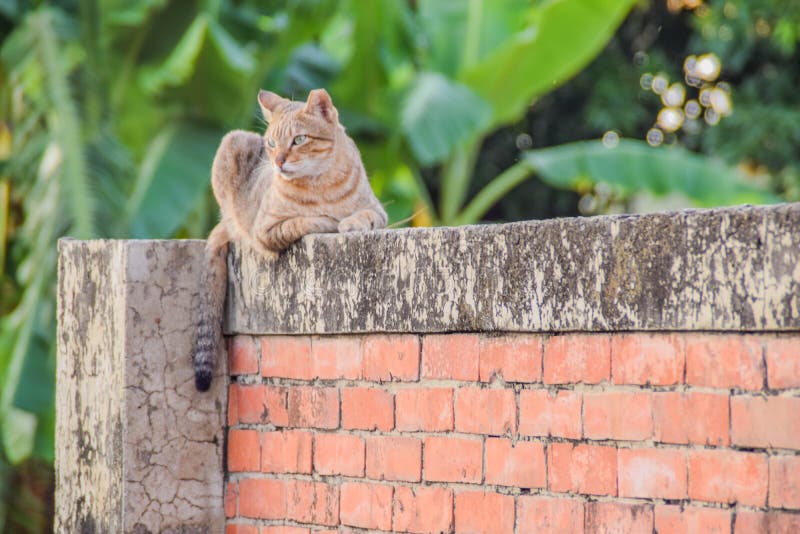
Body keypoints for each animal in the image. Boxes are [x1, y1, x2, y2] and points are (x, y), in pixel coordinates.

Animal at [194, 87, 388, 390]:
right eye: (272, 143)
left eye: (299, 140)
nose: (278, 162)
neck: (322, 183)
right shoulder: (265, 230)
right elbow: (304, 220)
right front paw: (330, 220)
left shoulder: (378, 210)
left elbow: (365, 215)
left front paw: (351, 221)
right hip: (233, 142)